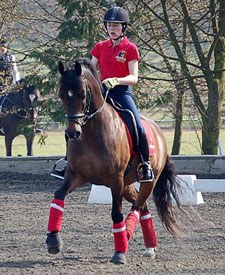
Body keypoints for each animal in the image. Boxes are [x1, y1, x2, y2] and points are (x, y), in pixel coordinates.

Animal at [46, 58, 185, 266]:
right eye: (62, 95)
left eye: (82, 94)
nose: (72, 133)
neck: (92, 133)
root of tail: (158, 132)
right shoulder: (76, 175)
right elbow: (58, 196)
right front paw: (53, 240)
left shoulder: (115, 180)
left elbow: (116, 213)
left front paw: (119, 253)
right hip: (127, 185)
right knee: (142, 207)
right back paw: (148, 247)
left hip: (147, 181)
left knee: (137, 207)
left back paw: (127, 238)